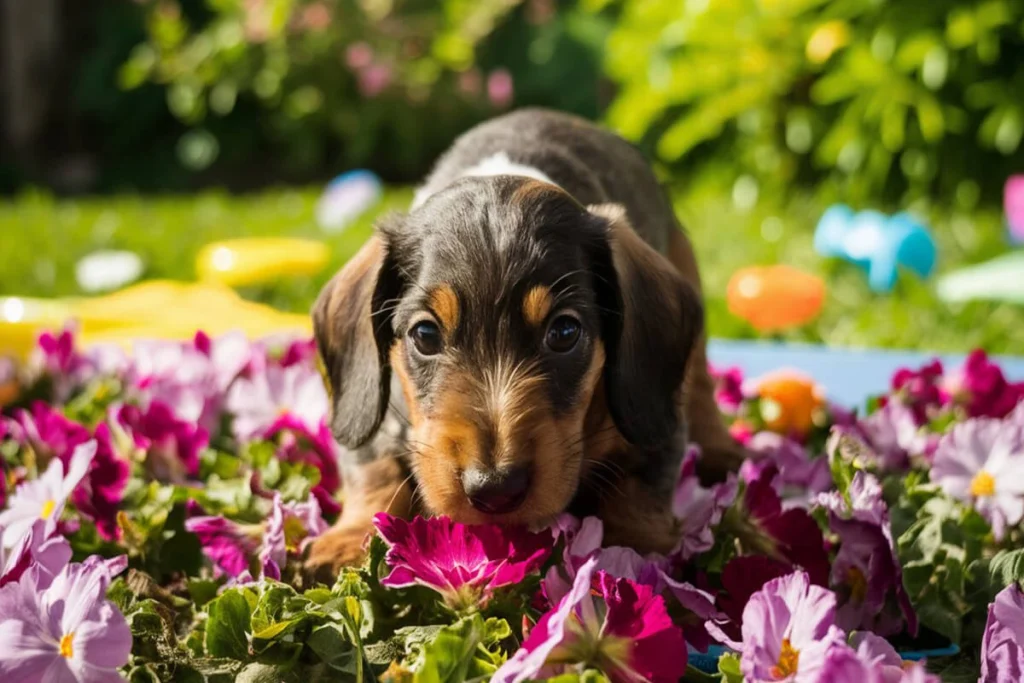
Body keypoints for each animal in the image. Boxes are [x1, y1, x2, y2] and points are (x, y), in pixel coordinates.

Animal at [303, 108, 745, 577]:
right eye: (425, 335)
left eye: (564, 333)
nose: (495, 488)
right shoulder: (382, 414)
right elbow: (374, 470)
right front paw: (346, 544)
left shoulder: (649, 422)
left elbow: (638, 490)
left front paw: (634, 551)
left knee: (700, 385)